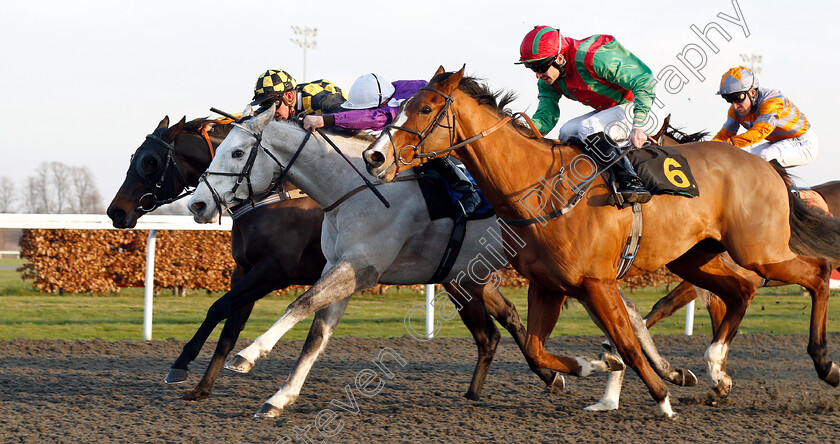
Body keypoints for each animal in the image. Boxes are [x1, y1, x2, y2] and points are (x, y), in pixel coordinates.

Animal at [106, 115, 564, 406]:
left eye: (149, 161)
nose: (116, 213)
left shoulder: (275, 271)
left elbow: (223, 308)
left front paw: (183, 365)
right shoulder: (248, 269)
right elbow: (230, 323)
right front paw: (202, 385)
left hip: (463, 277)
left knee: (499, 326)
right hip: (464, 276)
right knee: (500, 325)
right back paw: (537, 377)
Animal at [364, 67, 840, 416]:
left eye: (425, 108)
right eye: (403, 106)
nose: (374, 156)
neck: (540, 189)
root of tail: (764, 164)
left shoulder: (598, 283)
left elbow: (627, 339)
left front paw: (661, 399)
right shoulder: (548, 286)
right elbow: (537, 349)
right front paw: (593, 367)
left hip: (759, 251)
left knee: (816, 272)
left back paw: (824, 363)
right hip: (695, 257)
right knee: (740, 290)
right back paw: (717, 372)